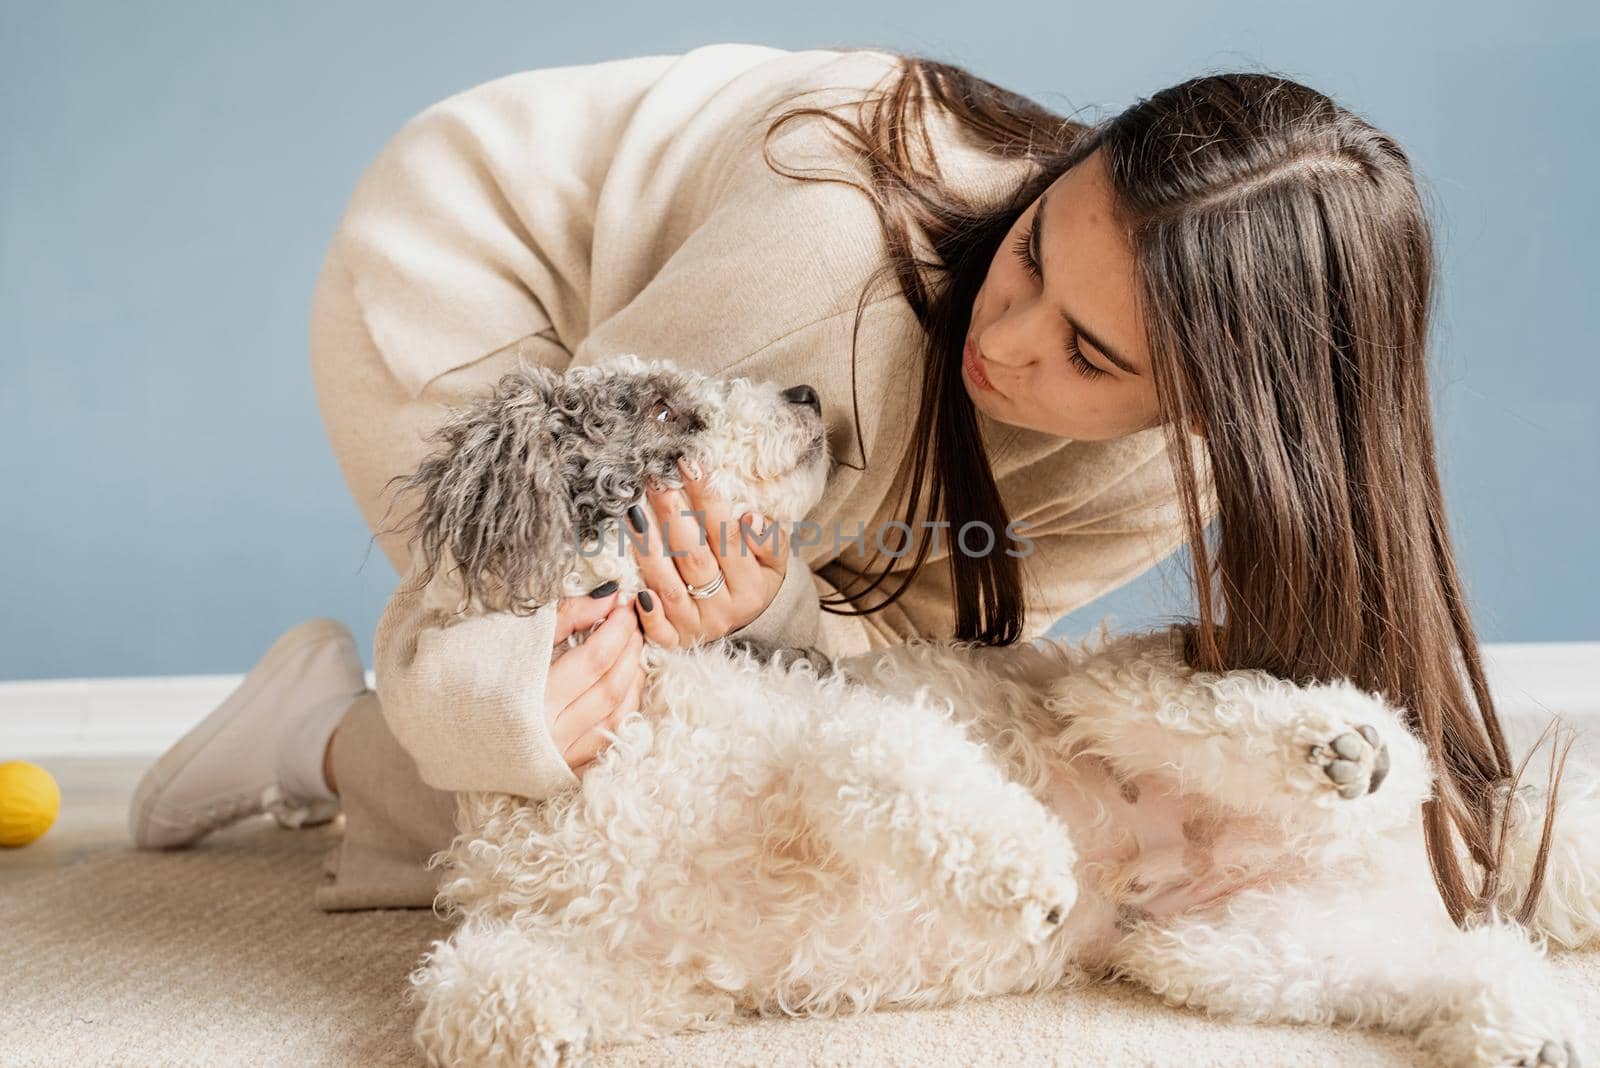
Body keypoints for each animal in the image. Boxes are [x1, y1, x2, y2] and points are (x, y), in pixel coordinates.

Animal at [390, 356, 1600, 1068]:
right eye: (656, 403)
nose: (807, 395)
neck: (619, 743)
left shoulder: (814, 721)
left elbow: (892, 763)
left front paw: (1023, 868)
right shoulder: (649, 962)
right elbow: (468, 991)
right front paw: (536, 1031)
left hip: (1108, 695)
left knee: (1285, 724)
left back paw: (1342, 752)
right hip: (1249, 957)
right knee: (1474, 963)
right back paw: (1532, 1028)